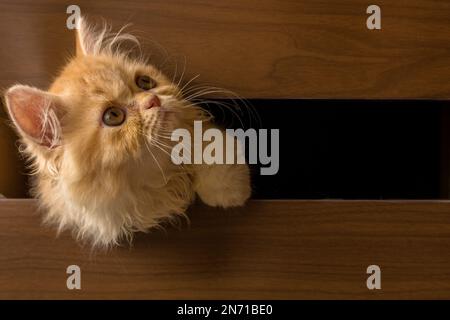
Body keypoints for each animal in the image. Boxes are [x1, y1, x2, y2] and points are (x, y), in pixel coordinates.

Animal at [2, 17, 250, 246]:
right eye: (113, 116)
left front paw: (230, 190)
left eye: (145, 82)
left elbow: (208, 145)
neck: (161, 180)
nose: (153, 100)